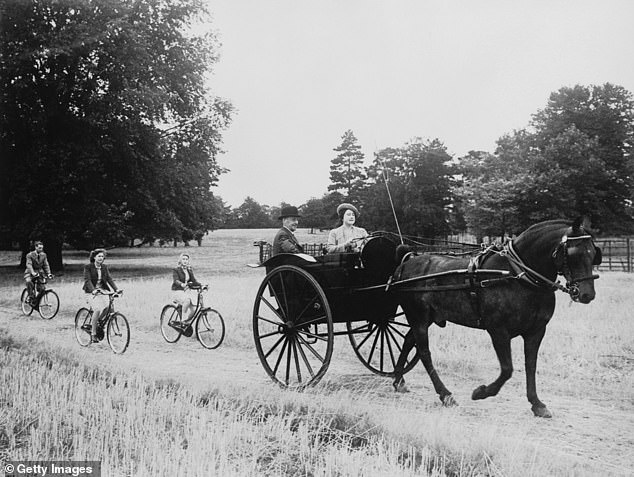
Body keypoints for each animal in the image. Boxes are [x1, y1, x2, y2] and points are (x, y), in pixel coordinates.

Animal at [388, 218, 600, 416]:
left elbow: (530, 365)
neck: (518, 275)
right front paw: (481, 392)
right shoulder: (498, 331)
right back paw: (445, 394)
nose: (587, 294)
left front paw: (537, 404)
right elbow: (507, 369)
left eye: (593, 253)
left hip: (426, 318)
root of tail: (406, 262)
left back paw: (399, 380)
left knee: (408, 341)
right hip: (419, 318)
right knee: (424, 352)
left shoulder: (536, 331)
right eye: (573, 253)